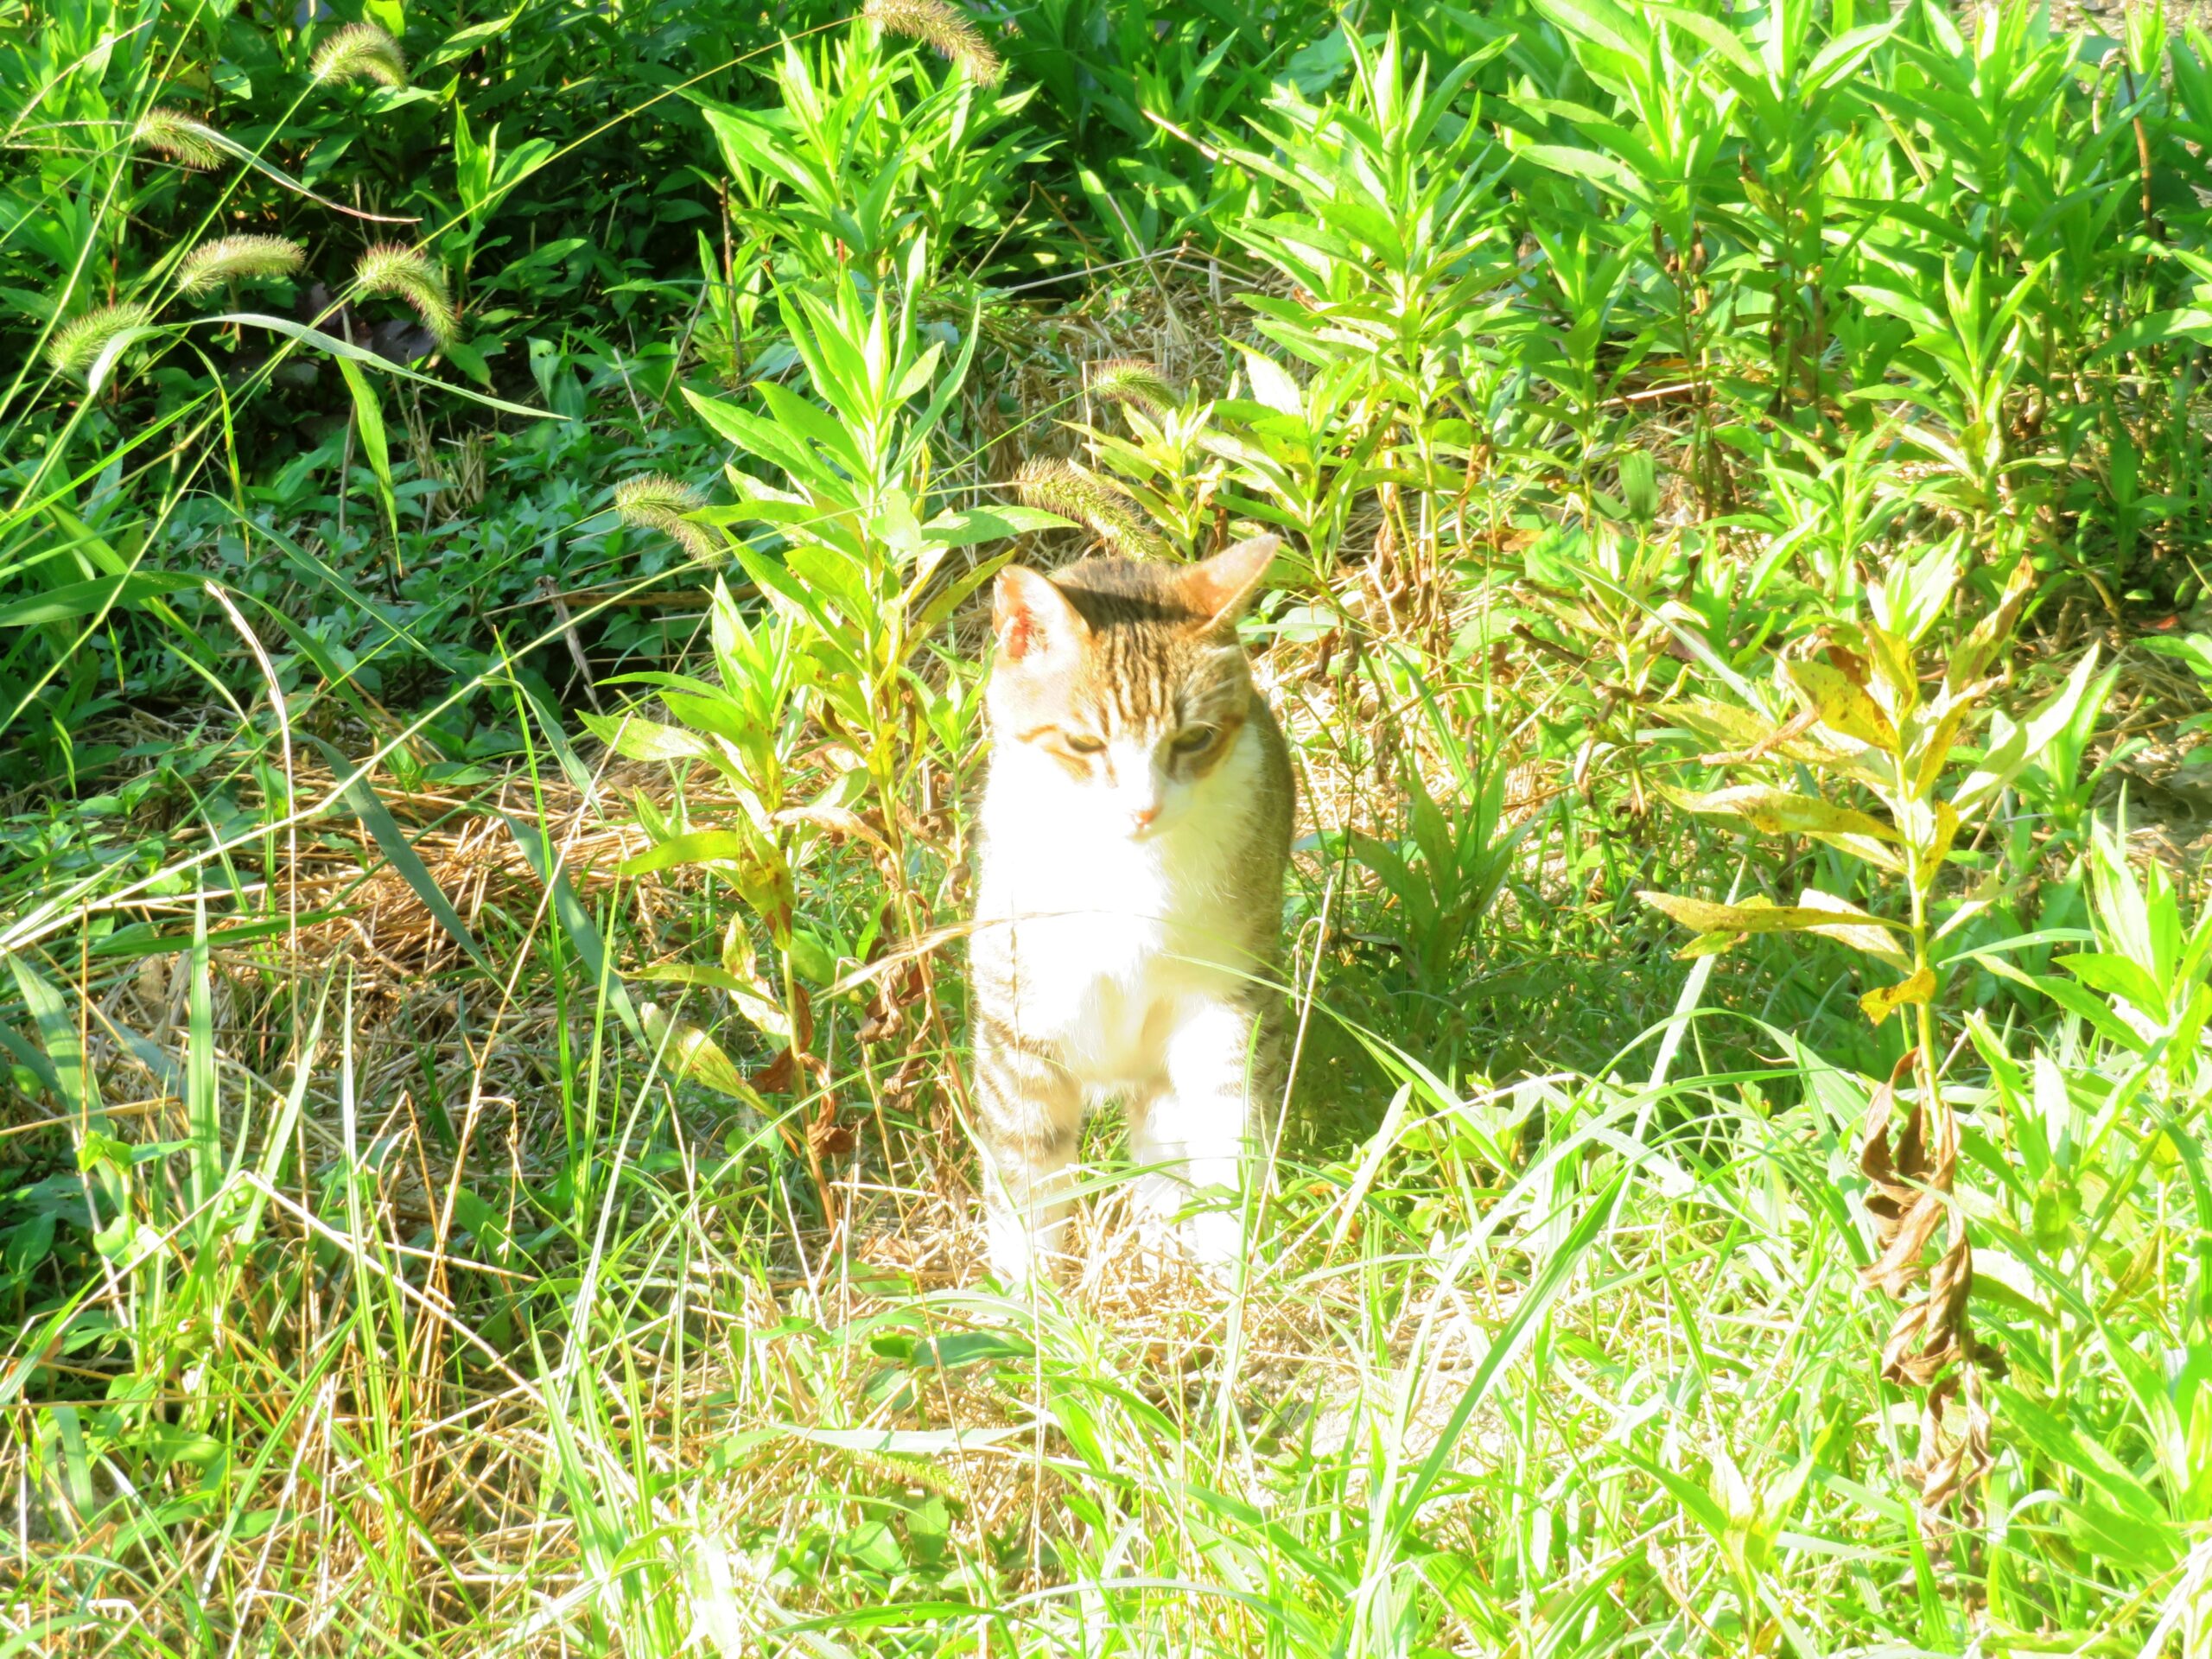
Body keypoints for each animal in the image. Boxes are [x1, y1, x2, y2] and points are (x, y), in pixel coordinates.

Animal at [969, 539, 1292, 1292]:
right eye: (1085, 745)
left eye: (1196, 738)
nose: (1143, 811)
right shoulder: (1021, 1018)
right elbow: (1028, 1176)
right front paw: (1031, 1303)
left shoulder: (1226, 1005)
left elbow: (1229, 1138)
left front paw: (1232, 1273)